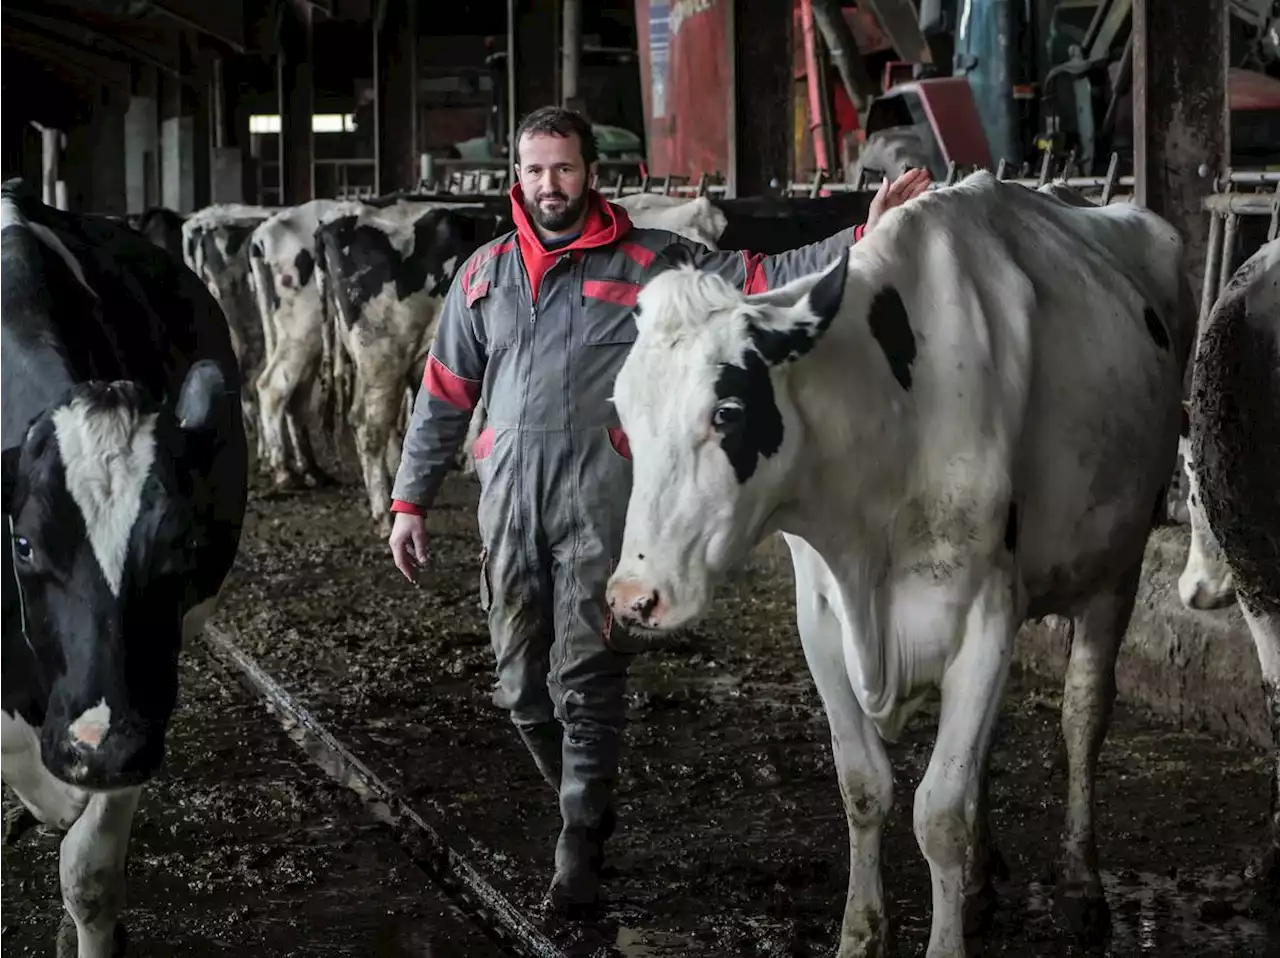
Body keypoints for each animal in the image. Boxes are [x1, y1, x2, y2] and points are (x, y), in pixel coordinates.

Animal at [599, 171, 1187, 957]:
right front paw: (860, 934)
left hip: (1116, 566)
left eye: (727, 411)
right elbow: (864, 785)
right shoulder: (821, 618)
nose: (635, 595)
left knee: (1082, 714)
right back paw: (982, 884)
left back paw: (1080, 888)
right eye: (624, 418)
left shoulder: (985, 615)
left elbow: (939, 814)